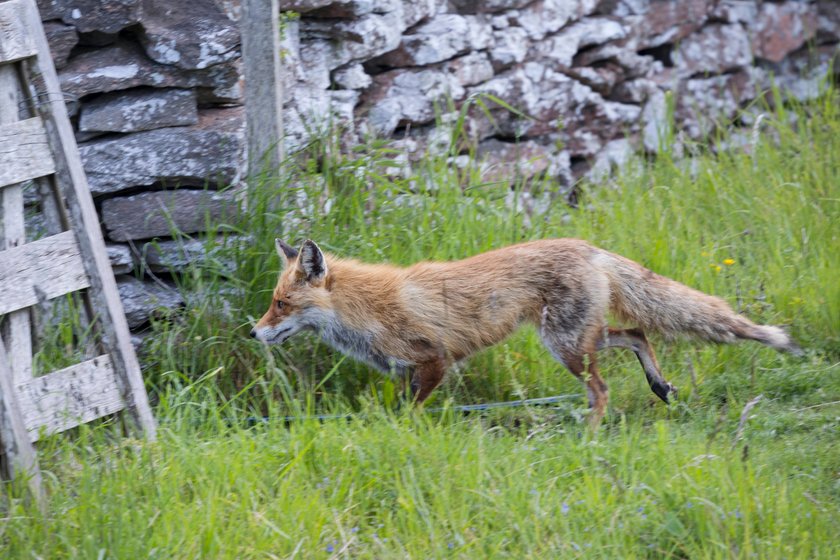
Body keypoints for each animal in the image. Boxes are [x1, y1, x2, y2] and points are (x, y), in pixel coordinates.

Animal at [250, 238, 801, 428]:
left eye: (280, 304)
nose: (254, 333)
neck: (365, 309)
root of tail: (588, 246)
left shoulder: (434, 361)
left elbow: (408, 416)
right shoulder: (408, 373)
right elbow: (401, 410)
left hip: (565, 347)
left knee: (602, 388)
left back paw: (589, 435)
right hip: (580, 338)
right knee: (638, 333)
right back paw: (659, 386)